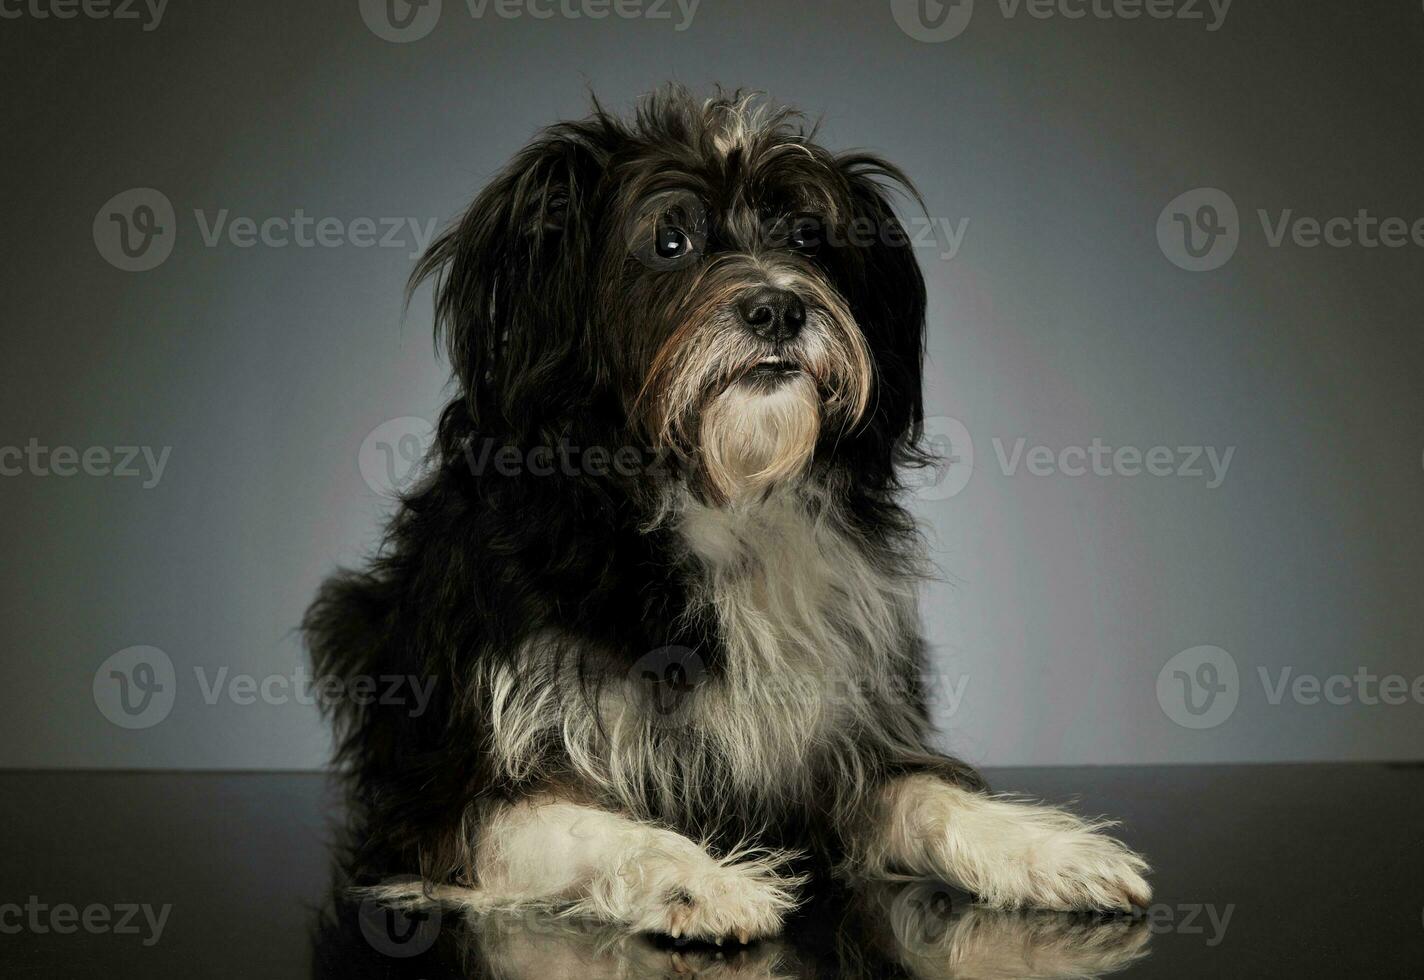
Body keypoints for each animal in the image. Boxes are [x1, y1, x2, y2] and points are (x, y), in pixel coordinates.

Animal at [306, 86, 1150, 940]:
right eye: (669, 239)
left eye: (808, 234)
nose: (778, 307)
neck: (716, 498)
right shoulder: (447, 806)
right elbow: (595, 830)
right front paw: (699, 880)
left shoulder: (837, 753)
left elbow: (933, 797)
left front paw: (1051, 850)